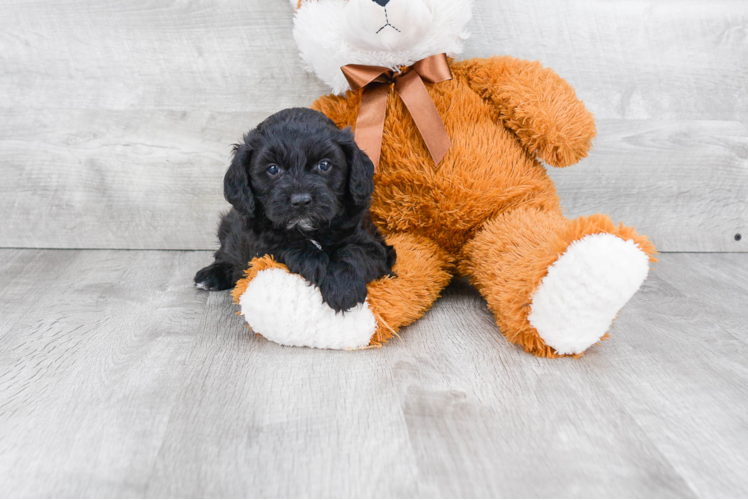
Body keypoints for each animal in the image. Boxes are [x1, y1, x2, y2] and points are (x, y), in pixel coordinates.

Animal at [194, 108, 398, 312]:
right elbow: (284, 243)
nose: (300, 201)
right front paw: (316, 262)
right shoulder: (257, 242)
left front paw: (343, 289)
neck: (309, 228)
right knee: (225, 253)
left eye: (324, 165)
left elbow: (353, 252)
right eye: (273, 169)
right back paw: (211, 275)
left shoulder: (374, 246)